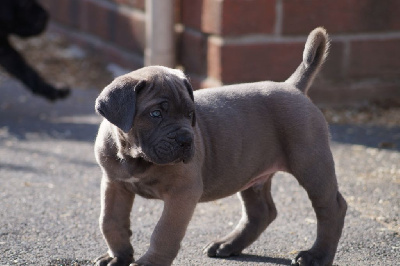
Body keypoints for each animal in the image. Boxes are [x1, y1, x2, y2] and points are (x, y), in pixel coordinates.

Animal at [94, 27, 346, 266]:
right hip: (252, 173)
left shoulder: (182, 192)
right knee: (261, 212)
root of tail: (293, 87)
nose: (186, 140)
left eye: (190, 114)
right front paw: (117, 256)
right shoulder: (114, 184)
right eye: (155, 114)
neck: (134, 157)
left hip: (311, 163)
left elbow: (164, 232)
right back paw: (228, 244)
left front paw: (150, 262)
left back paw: (316, 256)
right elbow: (110, 221)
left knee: (332, 208)